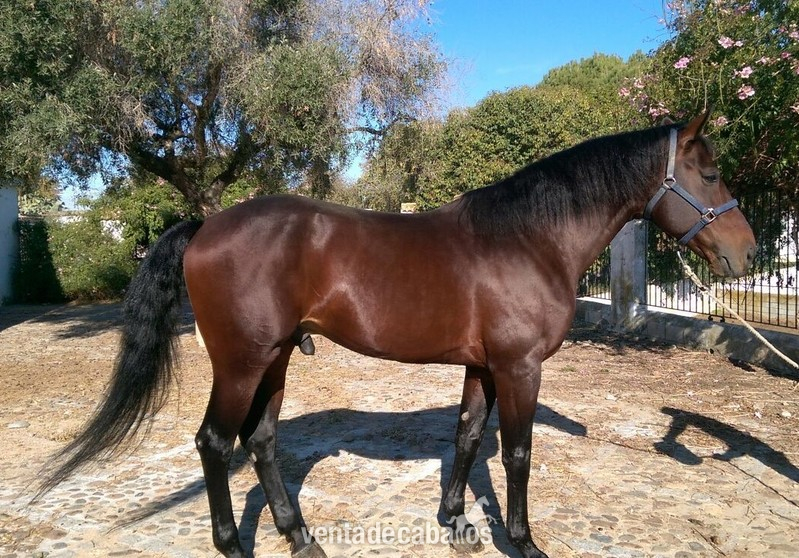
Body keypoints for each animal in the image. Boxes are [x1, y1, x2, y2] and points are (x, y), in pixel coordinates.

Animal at [37, 110, 756, 558]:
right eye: (709, 173)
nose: (746, 254)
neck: (527, 239)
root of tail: (206, 227)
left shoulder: (483, 366)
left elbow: (466, 437)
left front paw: (456, 521)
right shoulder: (519, 367)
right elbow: (519, 455)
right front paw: (522, 541)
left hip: (275, 358)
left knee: (261, 441)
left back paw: (301, 537)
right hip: (240, 363)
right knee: (214, 443)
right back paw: (235, 544)